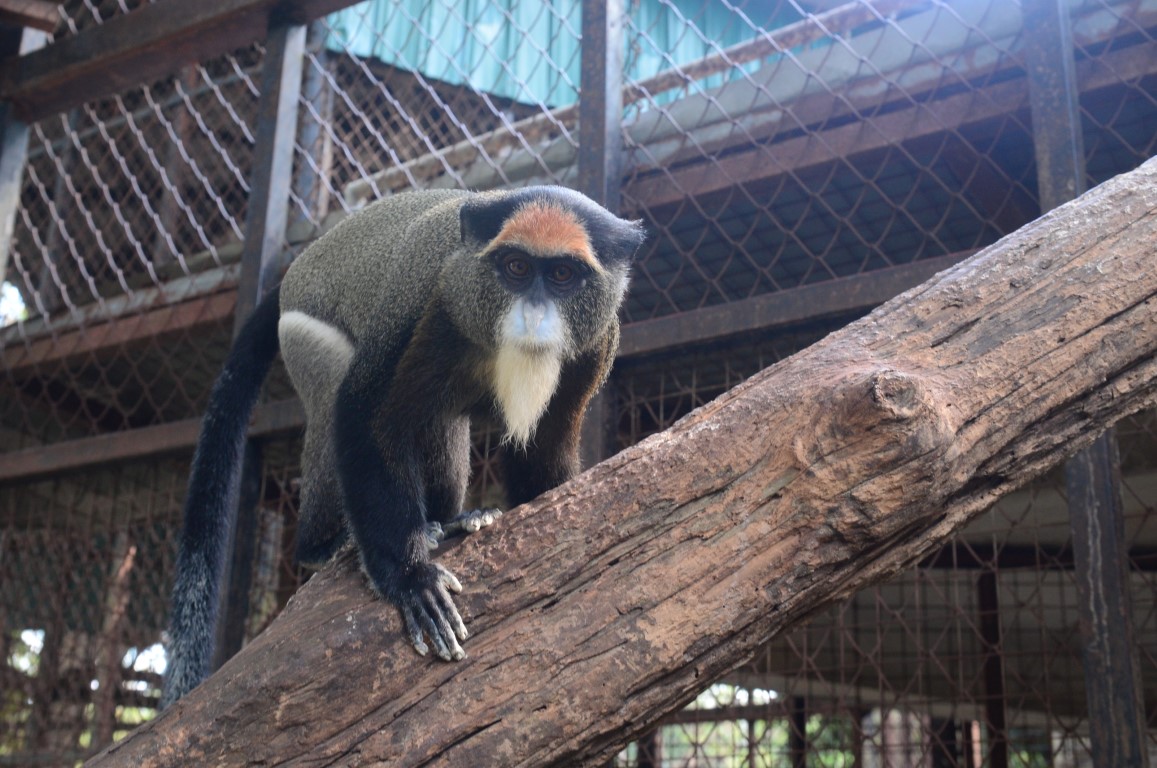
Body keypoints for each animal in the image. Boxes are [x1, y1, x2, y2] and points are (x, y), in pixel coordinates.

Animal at [161, 186, 646, 706]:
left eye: (561, 275)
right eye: (516, 267)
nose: (533, 315)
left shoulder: (596, 346)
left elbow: (542, 454)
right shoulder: (422, 303)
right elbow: (362, 413)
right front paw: (411, 580)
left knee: (438, 423)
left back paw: (450, 520)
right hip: (304, 337)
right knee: (336, 391)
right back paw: (325, 545)